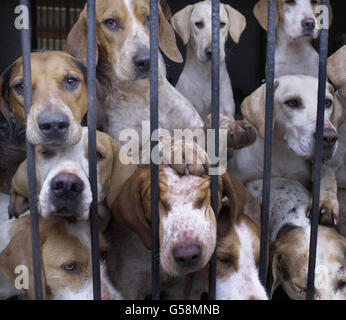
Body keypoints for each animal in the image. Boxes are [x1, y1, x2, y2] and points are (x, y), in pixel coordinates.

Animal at [232, 74, 344, 225]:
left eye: (327, 102)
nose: (330, 137)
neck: (283, 152)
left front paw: (326, 203)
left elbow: (328, 177)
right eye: (292, 102)